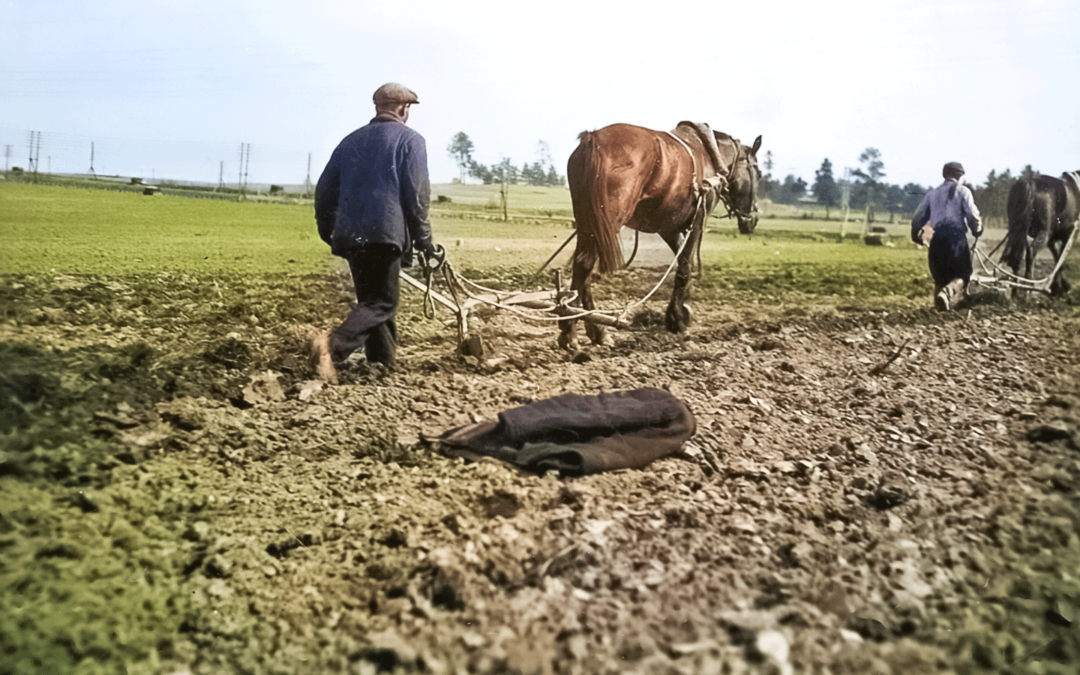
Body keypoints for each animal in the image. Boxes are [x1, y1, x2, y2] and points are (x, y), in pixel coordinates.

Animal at [561, 123, 764, 349]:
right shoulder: (696, 221)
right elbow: (684, 265)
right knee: (584, 266)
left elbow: (685, 263)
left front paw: (681, 310)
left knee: (582, 267)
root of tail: (593, 139)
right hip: (607, 223)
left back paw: (590, 328)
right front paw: (678, 318)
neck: (710, 155)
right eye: (759, 173)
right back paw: (575, 331)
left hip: (588, 223)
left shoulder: (668, 228)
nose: (753, 218)